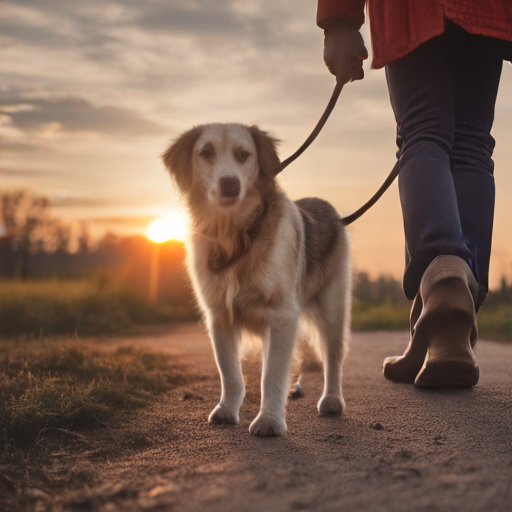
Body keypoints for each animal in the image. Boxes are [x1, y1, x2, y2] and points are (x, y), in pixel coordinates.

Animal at [164, 123, 352, 436]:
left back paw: (332, 400)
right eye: (205, 152)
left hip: (332, 307)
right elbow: (230, 372)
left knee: (333, 355)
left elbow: (272, 374)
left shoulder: (282, 315)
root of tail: (327, 206)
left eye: (243, 155)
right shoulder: (219, 316)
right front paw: (227, 410)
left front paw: (270, 420)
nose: (230, 184)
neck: (235, 237)